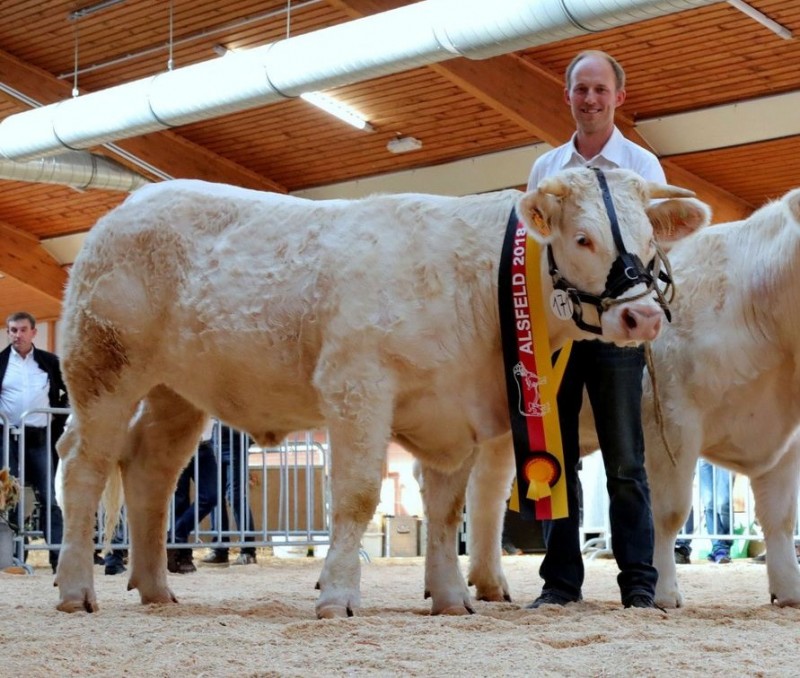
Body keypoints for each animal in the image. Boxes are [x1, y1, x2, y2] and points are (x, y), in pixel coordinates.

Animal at [466, 186, 800, 612]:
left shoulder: (785, 438)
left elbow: (780, 519)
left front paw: (790, 590)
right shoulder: (671, 420)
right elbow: (668, 512)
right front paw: (664, 592)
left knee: (487, 491)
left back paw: (490, 583)